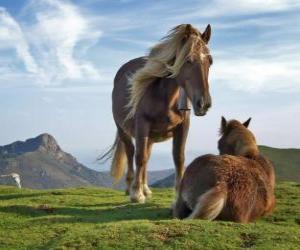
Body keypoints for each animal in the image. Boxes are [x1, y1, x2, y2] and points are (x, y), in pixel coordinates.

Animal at [101, 23, 213, 203]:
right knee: (131, 153)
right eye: (188, 60)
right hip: (123, 129)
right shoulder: (142, 125)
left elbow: (178, 158)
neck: (165, 97)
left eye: (210, 61)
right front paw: (136, 194)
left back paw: (146, 188)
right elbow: (139, 157)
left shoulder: (183, 127)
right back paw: (130, 187)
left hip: (151, 137)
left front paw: (177, 194)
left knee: (147, 157)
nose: (203, 104)